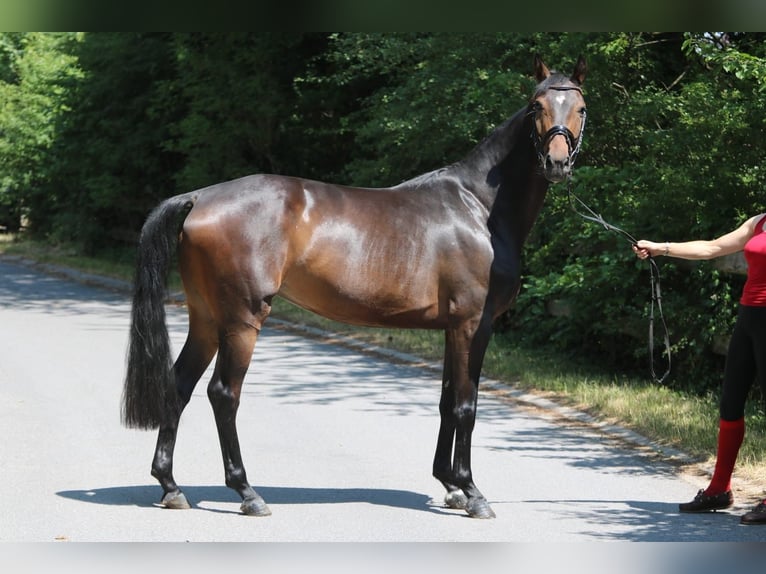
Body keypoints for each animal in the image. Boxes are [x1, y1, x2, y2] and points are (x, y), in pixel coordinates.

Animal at [123, 56, 592, 520]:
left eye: (581, 109)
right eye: (536, 107)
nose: (557, 163)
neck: (477, 208)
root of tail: (199, 198)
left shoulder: (451, 328)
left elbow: (446, 402)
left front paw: (450, 485)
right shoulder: (473, 324)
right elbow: (466, 405)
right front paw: (472, 491)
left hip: (206, 317)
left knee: (178, 386)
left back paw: (171, 486)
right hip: (241, 321)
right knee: (223, 394)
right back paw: (247, 493)